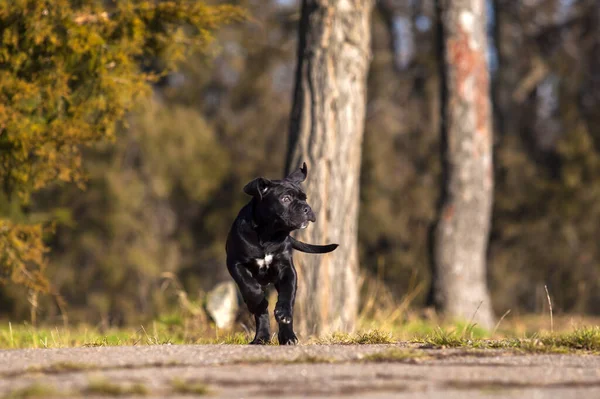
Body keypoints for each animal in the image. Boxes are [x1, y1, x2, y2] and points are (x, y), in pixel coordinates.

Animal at [225, 164, 338, 346]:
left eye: (304, 198)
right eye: (286, 199)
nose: (307, 208)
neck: (268, 235)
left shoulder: (286, 269)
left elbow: (287, 294)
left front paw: (283, 314)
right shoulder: (235, 263)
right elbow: (249, 286)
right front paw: (257, 297)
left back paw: (288, 337)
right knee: (260, 312)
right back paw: (261, 337)